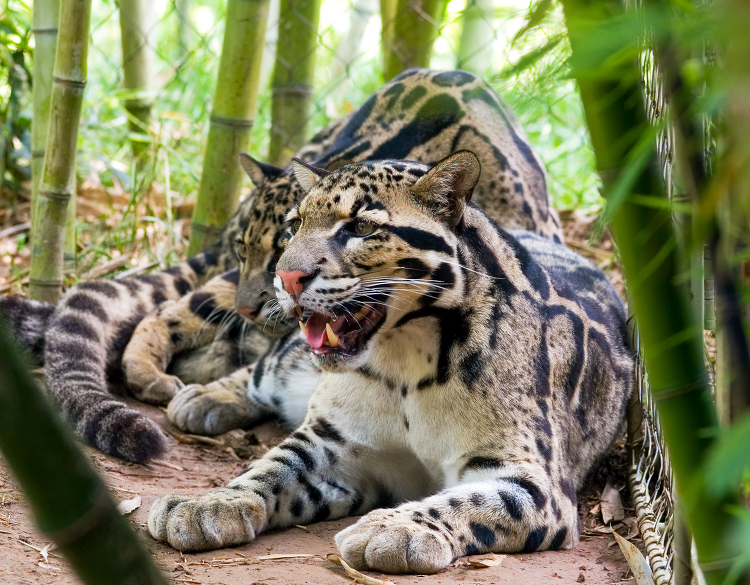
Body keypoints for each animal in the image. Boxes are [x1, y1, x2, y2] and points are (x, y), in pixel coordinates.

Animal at [147, 153, 636, 572]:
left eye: (362, 226)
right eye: (295, 225)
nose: (285, 277)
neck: (408, 360)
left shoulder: (535, 481)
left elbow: (470, 501)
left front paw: (396, 528)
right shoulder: (331, 438)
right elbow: (271, 466)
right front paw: (209, 503)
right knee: (263, 370)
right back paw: (203, 398)